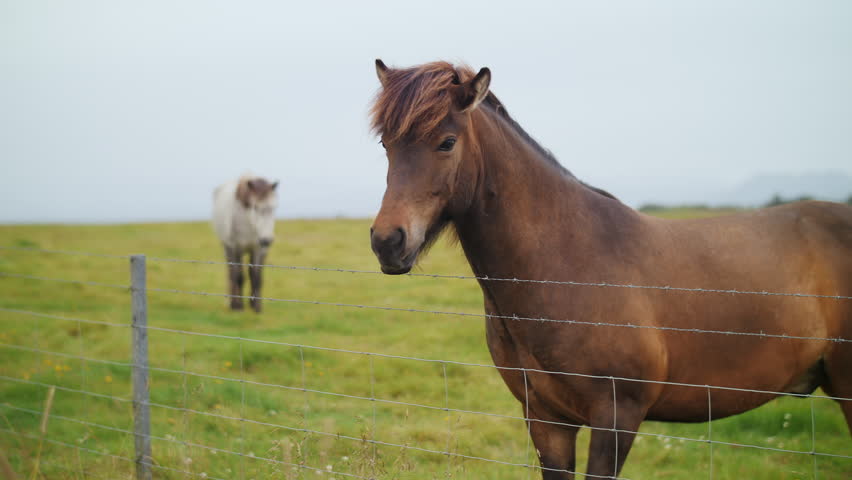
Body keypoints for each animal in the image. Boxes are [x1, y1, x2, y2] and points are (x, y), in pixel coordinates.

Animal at [212, 174, 279, 313]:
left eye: (274, 207)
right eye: (255, 207)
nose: (266, 240)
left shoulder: (258, 249)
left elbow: (256, 277)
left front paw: (257, 307)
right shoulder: (236, 248)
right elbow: (238, 276)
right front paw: (238, 306)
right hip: (228, 248)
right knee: (232, 273)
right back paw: (233, 303)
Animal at [367, 59, 852, 478]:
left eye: (447, 142)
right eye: (386, 145)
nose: (387, 242)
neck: (567, 264)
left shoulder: (617, 418)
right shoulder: (546, 421)